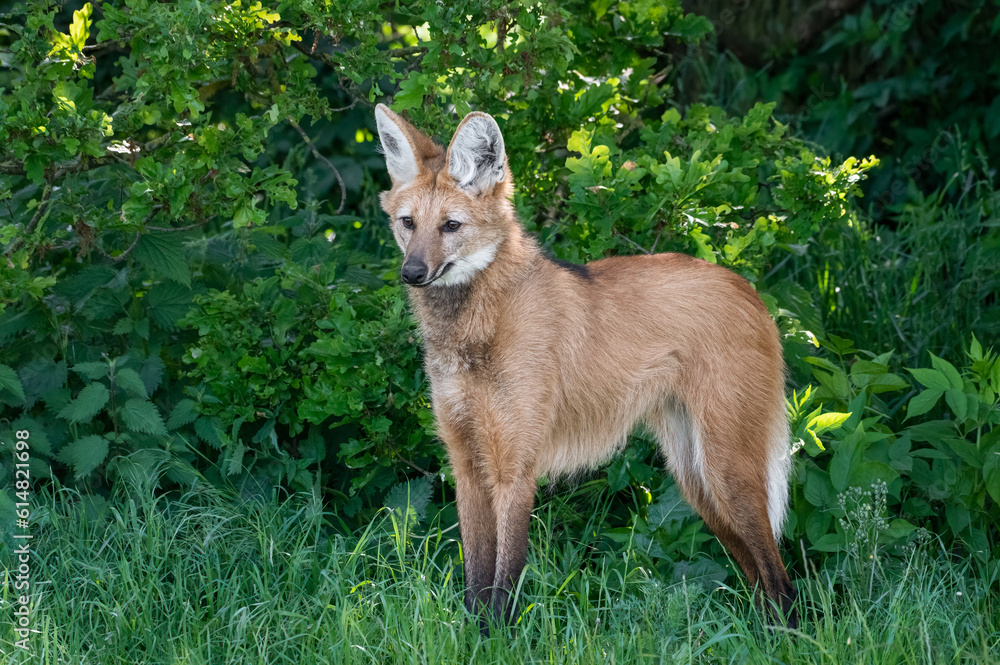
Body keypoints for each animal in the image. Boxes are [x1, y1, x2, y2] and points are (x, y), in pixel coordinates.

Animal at [374, 104, 797, 631]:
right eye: (408, 223)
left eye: (450, 226)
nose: (412, 272)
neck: (477, 330)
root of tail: (752, 293)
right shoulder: (467, 465)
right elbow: (476, 580)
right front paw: (474, 635)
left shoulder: (514, 469)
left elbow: (503, 580)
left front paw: (498, 638)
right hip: (695, 476)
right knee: (758, 572)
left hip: (726, 468)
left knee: (780, 577)